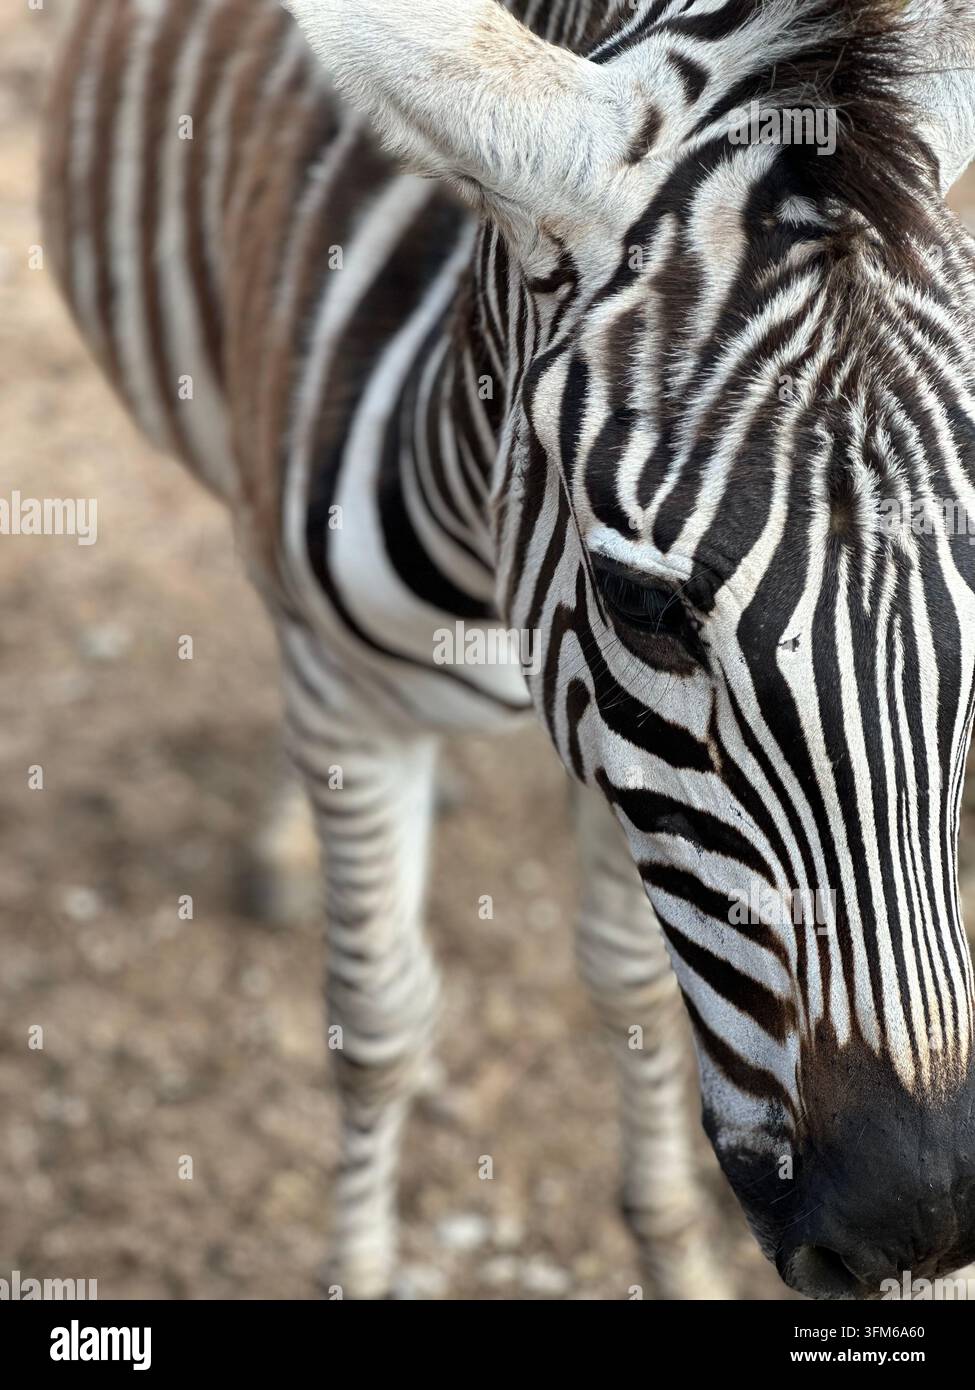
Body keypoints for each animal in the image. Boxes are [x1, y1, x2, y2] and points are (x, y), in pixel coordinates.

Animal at [41, 0, 975, 1301]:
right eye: (641, 606)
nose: (920, 1223)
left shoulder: (615, 757)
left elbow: (632, 985)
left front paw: (670, 1250)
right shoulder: (359, 707)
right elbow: (378, 1019)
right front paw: (361, 1264)